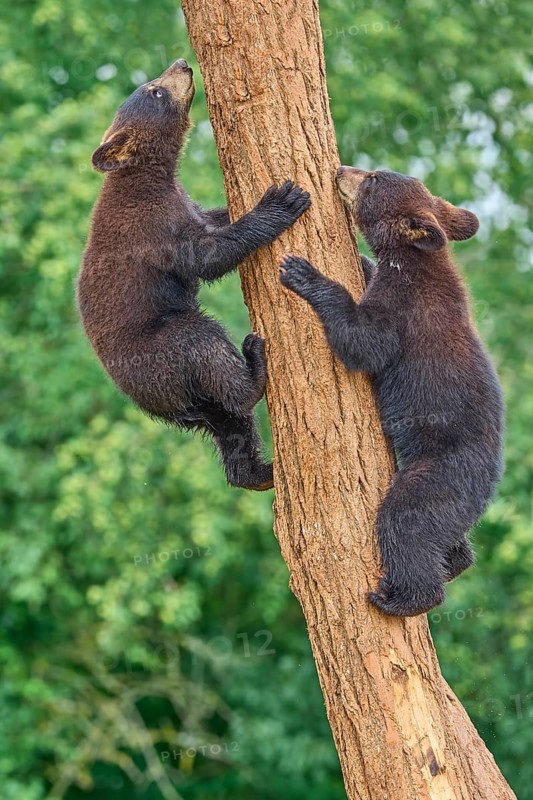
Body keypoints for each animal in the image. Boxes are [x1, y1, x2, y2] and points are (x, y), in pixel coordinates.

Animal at [77, 59, 310, 491]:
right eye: (154, 91)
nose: (183, 64)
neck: (149, 177)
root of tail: (154, 405)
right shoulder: (151, 228)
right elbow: (207, 255)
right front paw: (281, 201)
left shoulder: (183, 204)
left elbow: (213, 219)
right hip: (164, 349)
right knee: (207, 348)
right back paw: (254, 363)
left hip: (197, 401)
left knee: (231, 428)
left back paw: (261, 473)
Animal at [278, 166, 504, 617]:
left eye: (374, 179)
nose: (341, 169)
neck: (413, 259)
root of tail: (491, 481)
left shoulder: (403, 308)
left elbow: (364, 341)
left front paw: (303, 273)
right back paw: (455, 562)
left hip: (440, 474)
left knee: (407, 521)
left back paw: (401, 598)